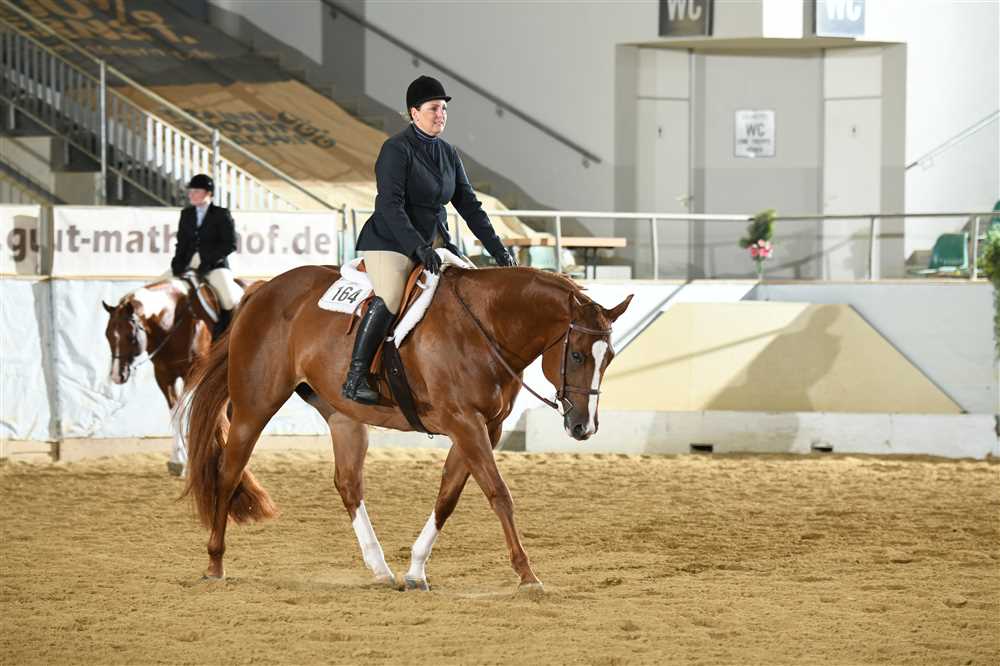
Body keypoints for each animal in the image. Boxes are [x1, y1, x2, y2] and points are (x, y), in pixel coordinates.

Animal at [102, 278, 214, 473]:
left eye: (131, 337)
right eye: (107, 335)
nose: (116, 376)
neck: (174, 323)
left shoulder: (194, 372)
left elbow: (184, 411)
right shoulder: (163, 376)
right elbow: (175, 411)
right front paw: (178, 460)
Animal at [181, 264, 632, 593]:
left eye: (609, 356)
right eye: (576, 355)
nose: (583, 426)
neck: (484, 328)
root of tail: (263, 289)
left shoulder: (484, 427)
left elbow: (448, 497)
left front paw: (416, 570)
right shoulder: (464, 423)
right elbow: (499, 494)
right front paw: (527, 574)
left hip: (343, 416)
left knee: (348, 484)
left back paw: (380, 568)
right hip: (254, 408)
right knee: (227, 474)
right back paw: (214, 563)